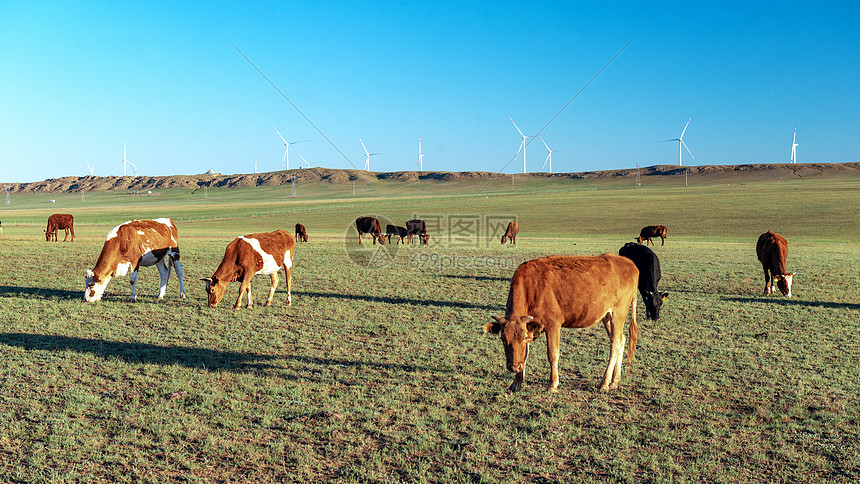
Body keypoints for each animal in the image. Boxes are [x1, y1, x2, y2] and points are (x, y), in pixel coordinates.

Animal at [484, 253, 640, 394]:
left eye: (522, 339)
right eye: (503, 339)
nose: (514, 367)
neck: (531, 287)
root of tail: (630, 263)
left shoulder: (553, 324)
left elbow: (552, 354)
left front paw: (553, 384)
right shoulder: (529, 327)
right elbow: (525, 354)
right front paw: (516, 382)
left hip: (618, 314)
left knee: (614, 344)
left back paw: (605, 382)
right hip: (607, 316)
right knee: (621, 340)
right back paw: (614, 381)